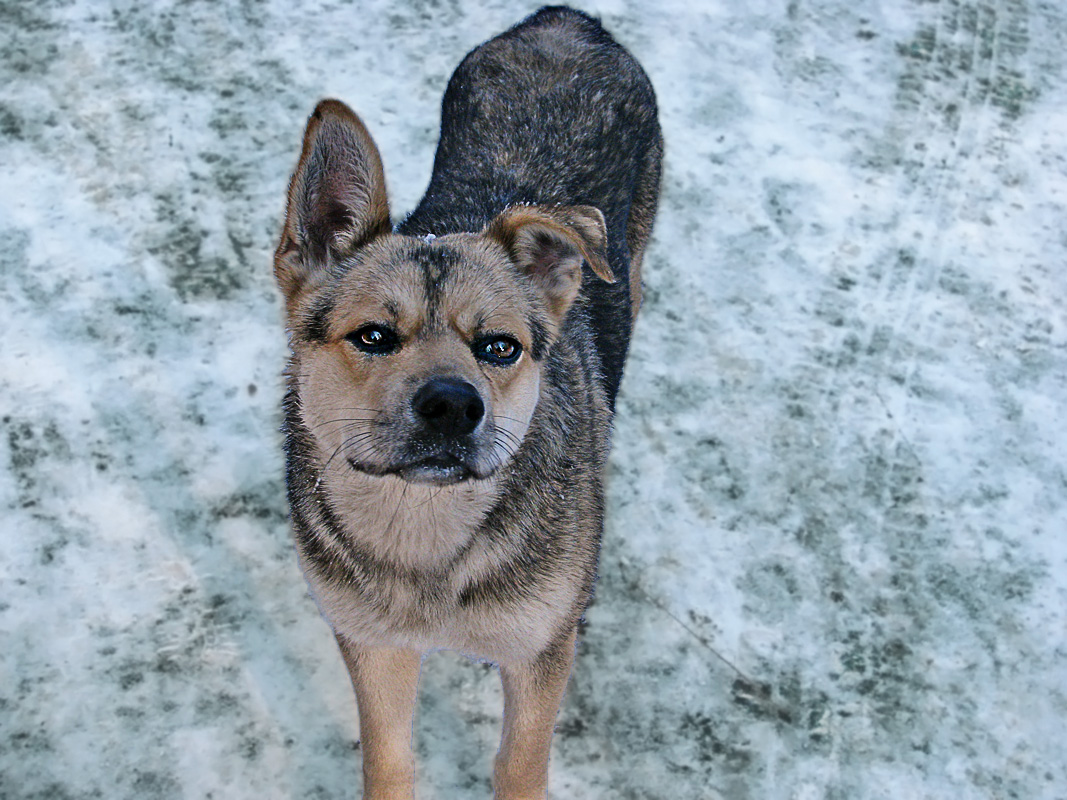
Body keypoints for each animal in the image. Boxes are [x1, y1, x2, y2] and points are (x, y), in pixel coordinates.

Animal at [273, 7, 657, 800]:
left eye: (500, 347)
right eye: (374, 335)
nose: (453, 406)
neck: (426, 538)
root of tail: (567, 20)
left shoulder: (539, 649)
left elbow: (519, 764)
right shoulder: (370, 638)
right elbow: (389, 759)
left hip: (627, 259)